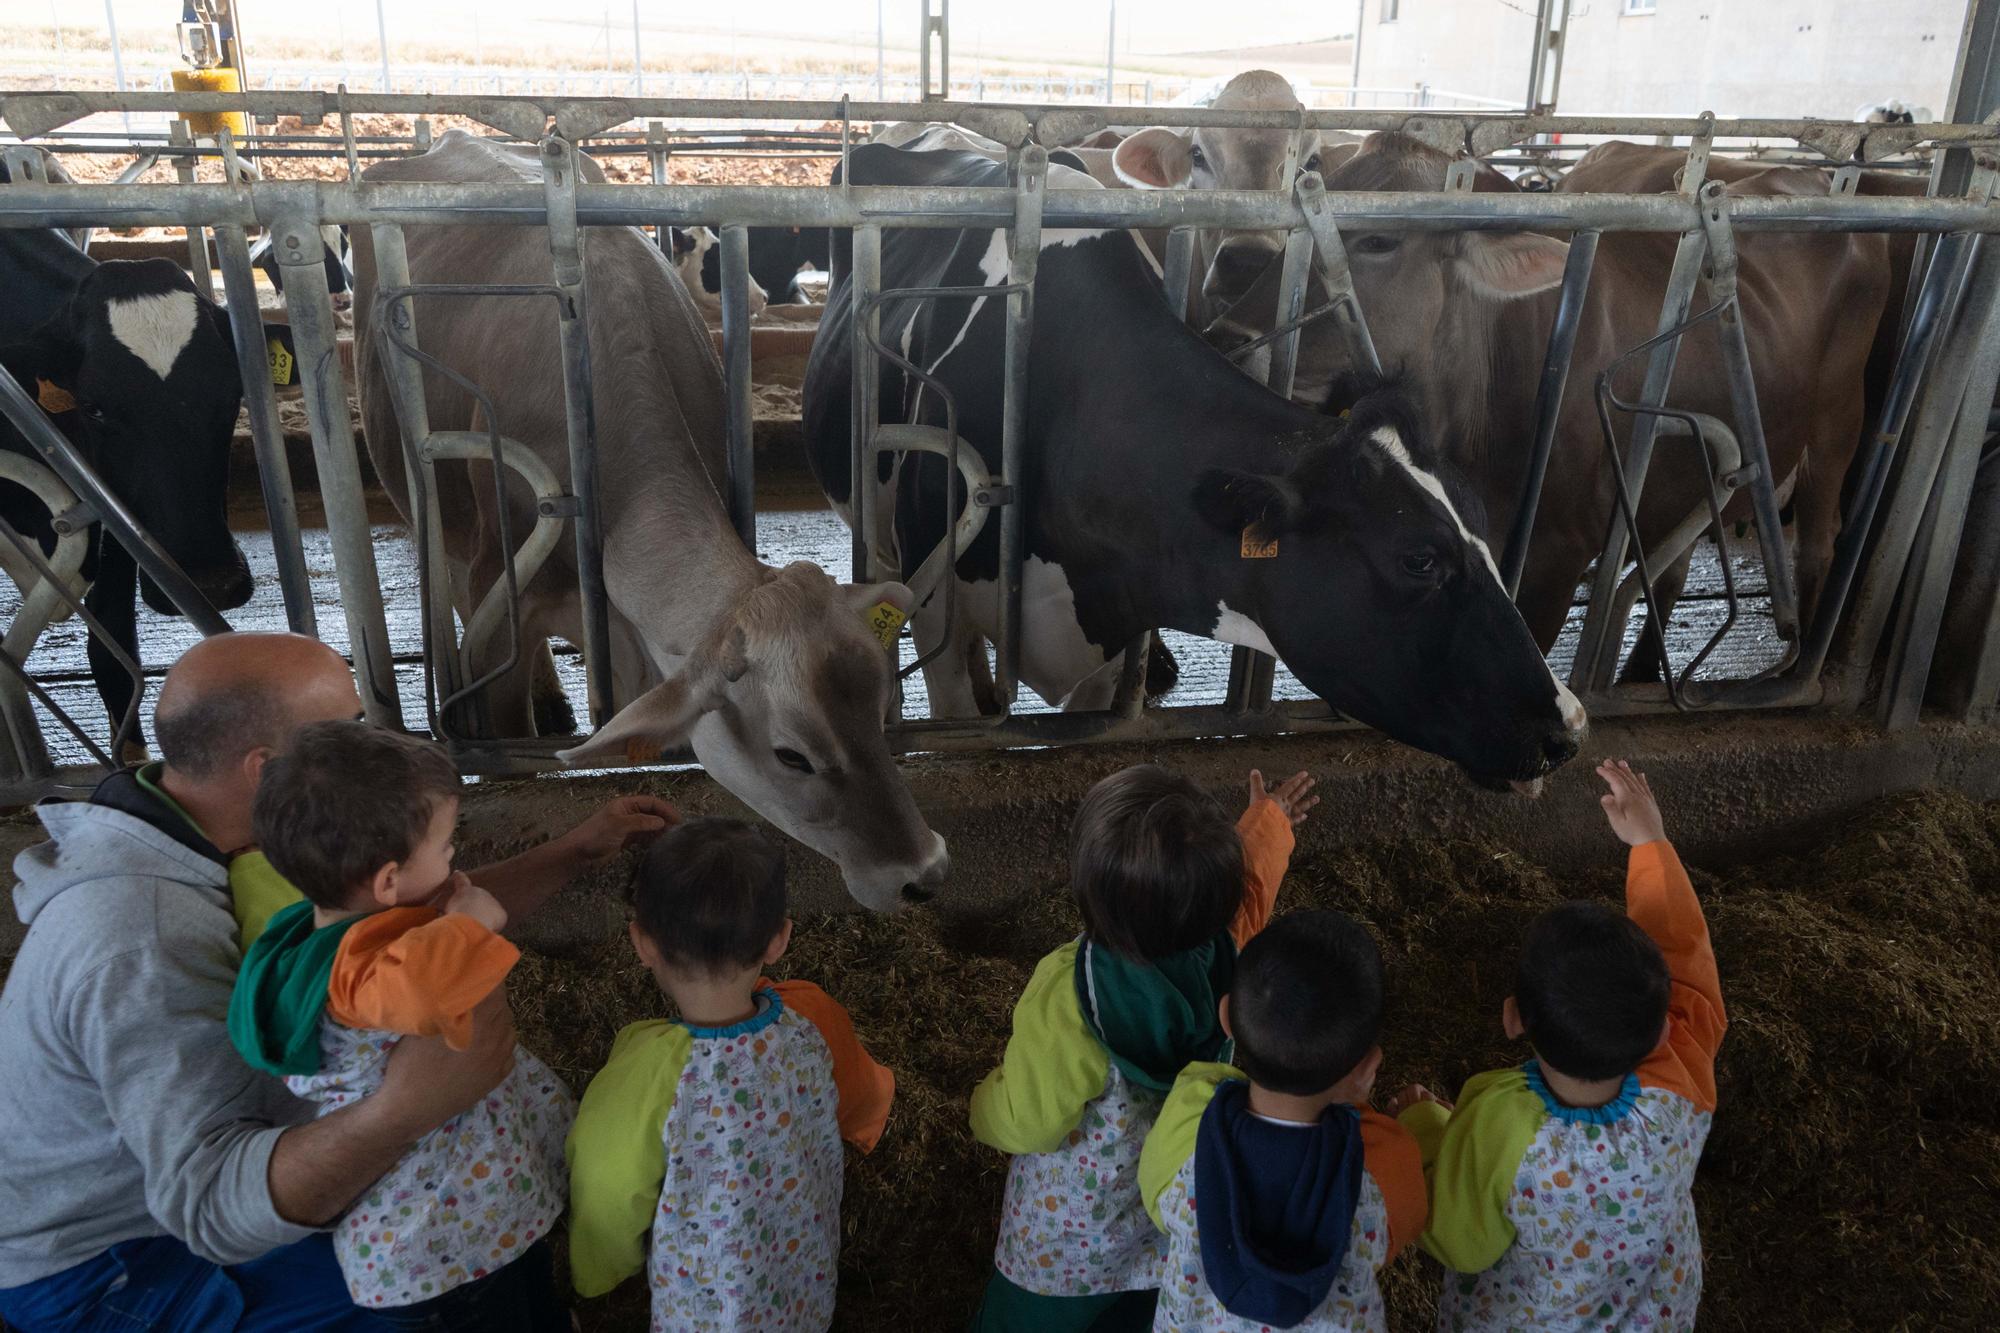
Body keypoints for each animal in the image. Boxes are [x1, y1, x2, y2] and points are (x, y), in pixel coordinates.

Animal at [1296, 134, 1888, 668]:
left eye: (1378, 241)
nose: (1251, 322)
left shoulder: (1559, 553)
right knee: (1673, 566)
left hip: (1838, 421)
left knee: (1817, 544)